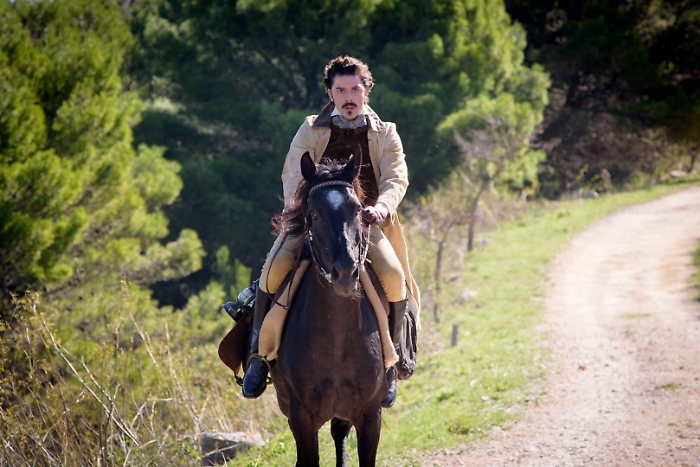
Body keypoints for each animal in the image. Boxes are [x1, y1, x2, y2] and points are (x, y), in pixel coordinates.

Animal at [269, 151, 388, 467]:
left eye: (358, 209)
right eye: (313, 214)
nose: (344, 273)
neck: (337, 339)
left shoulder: (370, 414)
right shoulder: (301, 416)